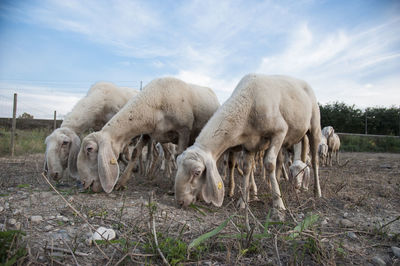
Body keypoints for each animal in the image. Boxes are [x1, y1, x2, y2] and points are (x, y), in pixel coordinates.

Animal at [76, 77, 220, 193]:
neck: (156, 98)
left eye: (89, 149)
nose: (83, 184)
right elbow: (135, 152)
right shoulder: (148, 134)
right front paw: (121, 182)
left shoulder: (184, 130)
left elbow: (179, 156)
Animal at [175, 74, 322, 212]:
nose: (180, 202)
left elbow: (269, 164)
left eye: (197, 172)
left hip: (314, 127)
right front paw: (243, 202)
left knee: (314, 160)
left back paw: (316, 192)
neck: (248, 104)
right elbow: (246, 167)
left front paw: (278, 204)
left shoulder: (280, 131)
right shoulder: (249, 143)